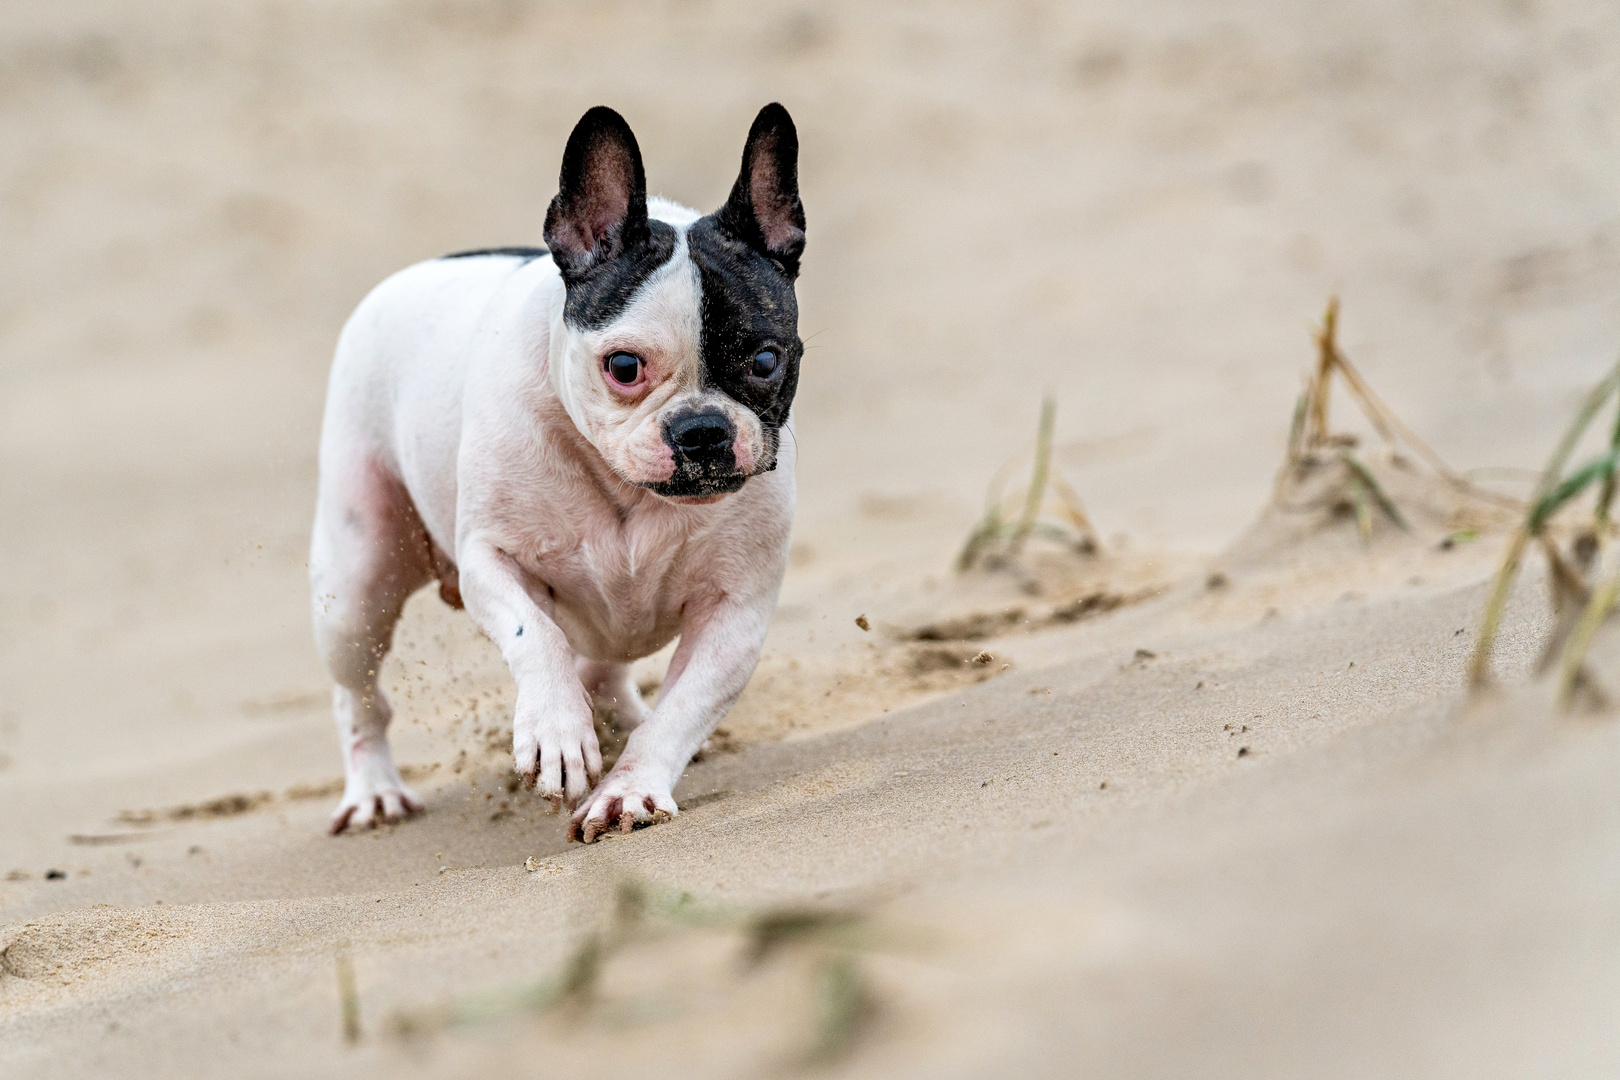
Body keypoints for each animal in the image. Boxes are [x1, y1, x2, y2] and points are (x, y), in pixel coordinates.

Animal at [307, 103, 803, 841]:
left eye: (767, 361)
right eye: (623, 367)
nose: (702, 429)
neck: (625, 490)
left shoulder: (734, 616)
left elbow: (680, 711)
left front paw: (630, 788)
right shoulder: (491, 559)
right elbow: (533, 635)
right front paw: (556, 736)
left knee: (606, 664)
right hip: (357, 578)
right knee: (358, 693)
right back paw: (374, 792)